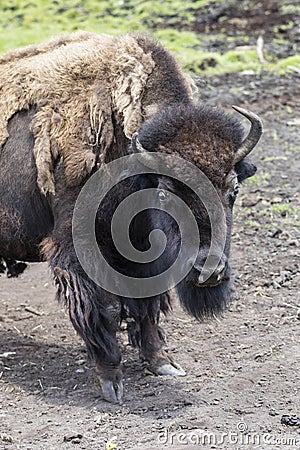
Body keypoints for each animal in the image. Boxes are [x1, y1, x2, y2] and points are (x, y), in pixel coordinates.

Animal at [0, 32, 262, 404]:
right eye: (165, 191)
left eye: (234, 188)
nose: (208, 270)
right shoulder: (79, 255)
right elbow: (103, 312)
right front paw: (111, 382)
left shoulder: (143, 258)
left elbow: (147, 305)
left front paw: (162, 363)